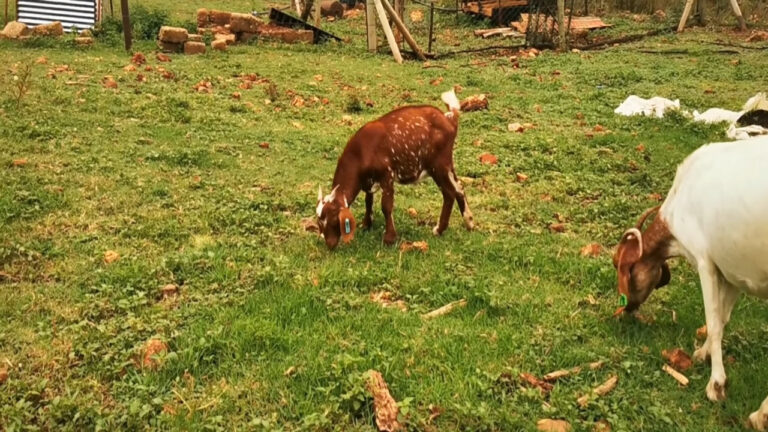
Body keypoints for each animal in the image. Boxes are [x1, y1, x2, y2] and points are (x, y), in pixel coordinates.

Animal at [612, 135, 768, 428]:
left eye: (620, 266)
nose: (627, 308)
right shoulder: (732, 272)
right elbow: (723, 318)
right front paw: (702, 354)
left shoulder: (705, 262)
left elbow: (713, 322)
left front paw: (716, 385)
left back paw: (760, 415)